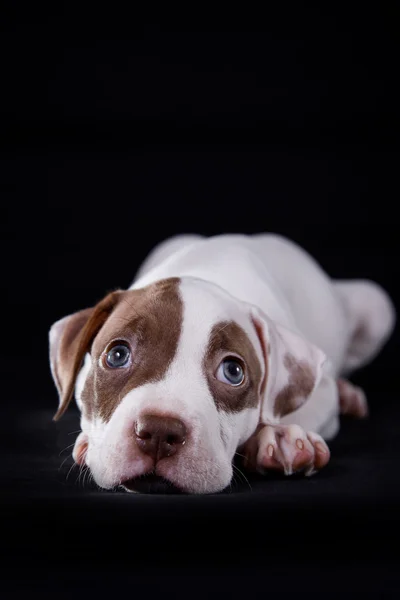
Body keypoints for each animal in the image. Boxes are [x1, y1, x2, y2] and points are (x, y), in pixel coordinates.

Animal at [48, 233, 396, 492]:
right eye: (118, 355)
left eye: (233, 371)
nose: (159, 432)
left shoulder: (319, 387)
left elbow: (292, 408)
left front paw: (278, 436)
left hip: (376, 305)